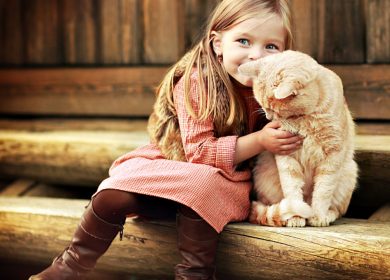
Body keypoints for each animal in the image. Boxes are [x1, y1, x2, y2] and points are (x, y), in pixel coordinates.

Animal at [238, 50, 356, 226]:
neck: (305, 118)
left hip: (349, 173)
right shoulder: (287, 158)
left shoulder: (332, 155)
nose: (268, 117)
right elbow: (292, 190)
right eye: (264, 107)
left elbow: (323, 191)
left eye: (274, 110)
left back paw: (327, 214)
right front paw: (296, 217)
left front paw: (318, 216)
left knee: (337, 209)